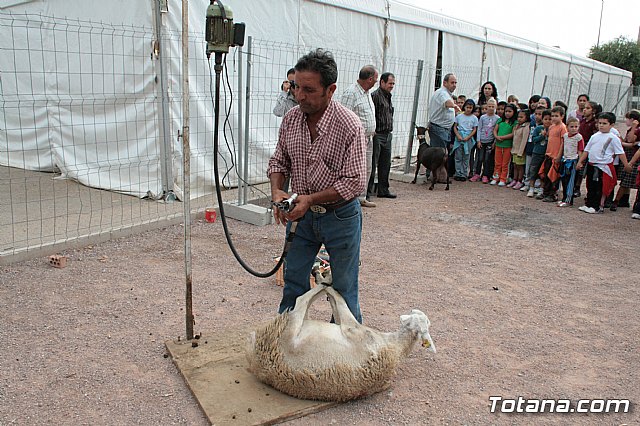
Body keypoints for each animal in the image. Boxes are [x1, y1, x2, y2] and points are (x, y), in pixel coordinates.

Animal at [245, 284, 436, 402]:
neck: (394, 347)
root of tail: (254, 357)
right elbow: (337, 309)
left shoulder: (353, 330)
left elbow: (342, 304)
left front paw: (331, 290)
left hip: (288, 329)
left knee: (301, 299)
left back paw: (322, 285)